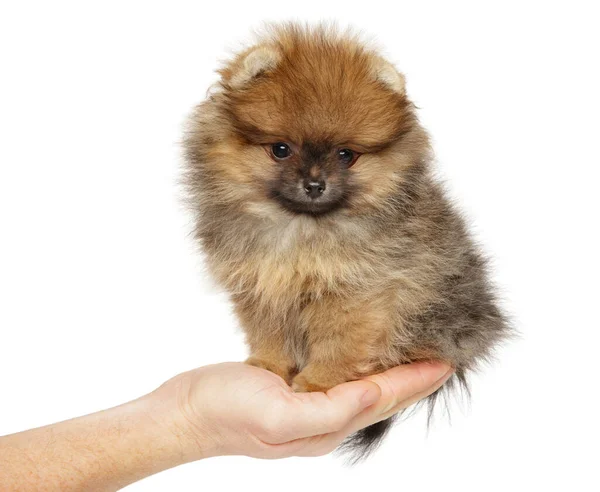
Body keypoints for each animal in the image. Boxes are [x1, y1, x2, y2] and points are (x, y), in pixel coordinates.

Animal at [185, 24, 508, 462]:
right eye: (281, 149)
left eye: (345, 155)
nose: (315, 184)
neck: (302, 227)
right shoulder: (260, 285)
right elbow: (269, 333)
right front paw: (267, 366)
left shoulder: (354, 291)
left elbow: (337, 342)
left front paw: (319, 382)